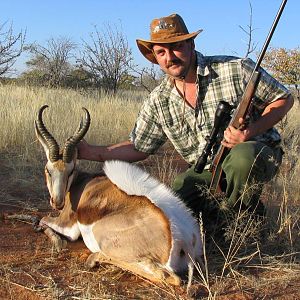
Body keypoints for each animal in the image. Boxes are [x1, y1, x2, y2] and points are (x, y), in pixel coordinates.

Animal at [35, 105, 203, 286]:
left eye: (70, 170)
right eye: (48, 170)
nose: (57, 202)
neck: (80, 182)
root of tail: (184, 239)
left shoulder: (68, 226)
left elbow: (43, 219)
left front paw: (56, 240)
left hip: (103, 235)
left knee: (167, 276)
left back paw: (93, 258)